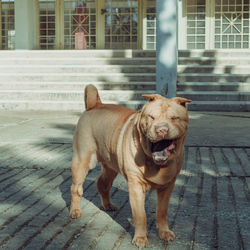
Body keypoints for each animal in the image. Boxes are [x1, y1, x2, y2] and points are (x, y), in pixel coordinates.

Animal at [70, 84, 191, 248]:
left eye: (174, 118)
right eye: (151, 117)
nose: (162, 129)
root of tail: (94, 105)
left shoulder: (167, 186)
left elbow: (162, 212)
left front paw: (164, 232)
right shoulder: (136, 186)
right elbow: (141, 216)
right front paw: (140, 238)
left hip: (110, 166)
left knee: (102, 183)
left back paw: (108, 205)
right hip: (82, 161)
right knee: (76, 188)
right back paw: (75, 211)